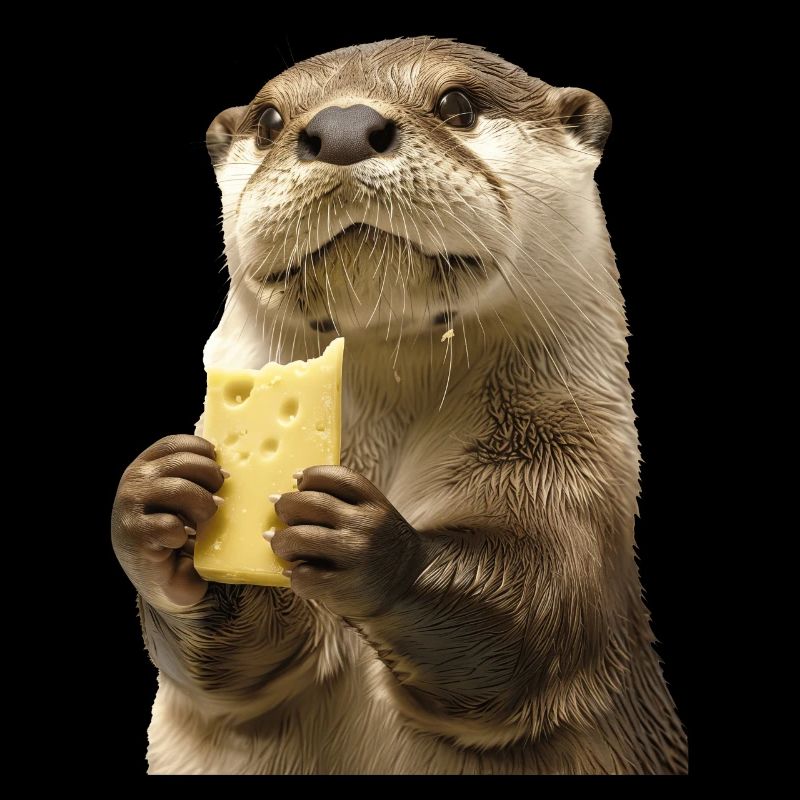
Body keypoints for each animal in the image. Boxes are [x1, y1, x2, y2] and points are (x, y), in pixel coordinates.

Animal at [111, 37, 687, 774]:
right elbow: (237, 669)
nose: (344, 127)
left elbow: (535, 615)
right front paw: (158, 497)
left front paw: (367, 539)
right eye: (269, 120)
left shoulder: (567, 470)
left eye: (458, 103)